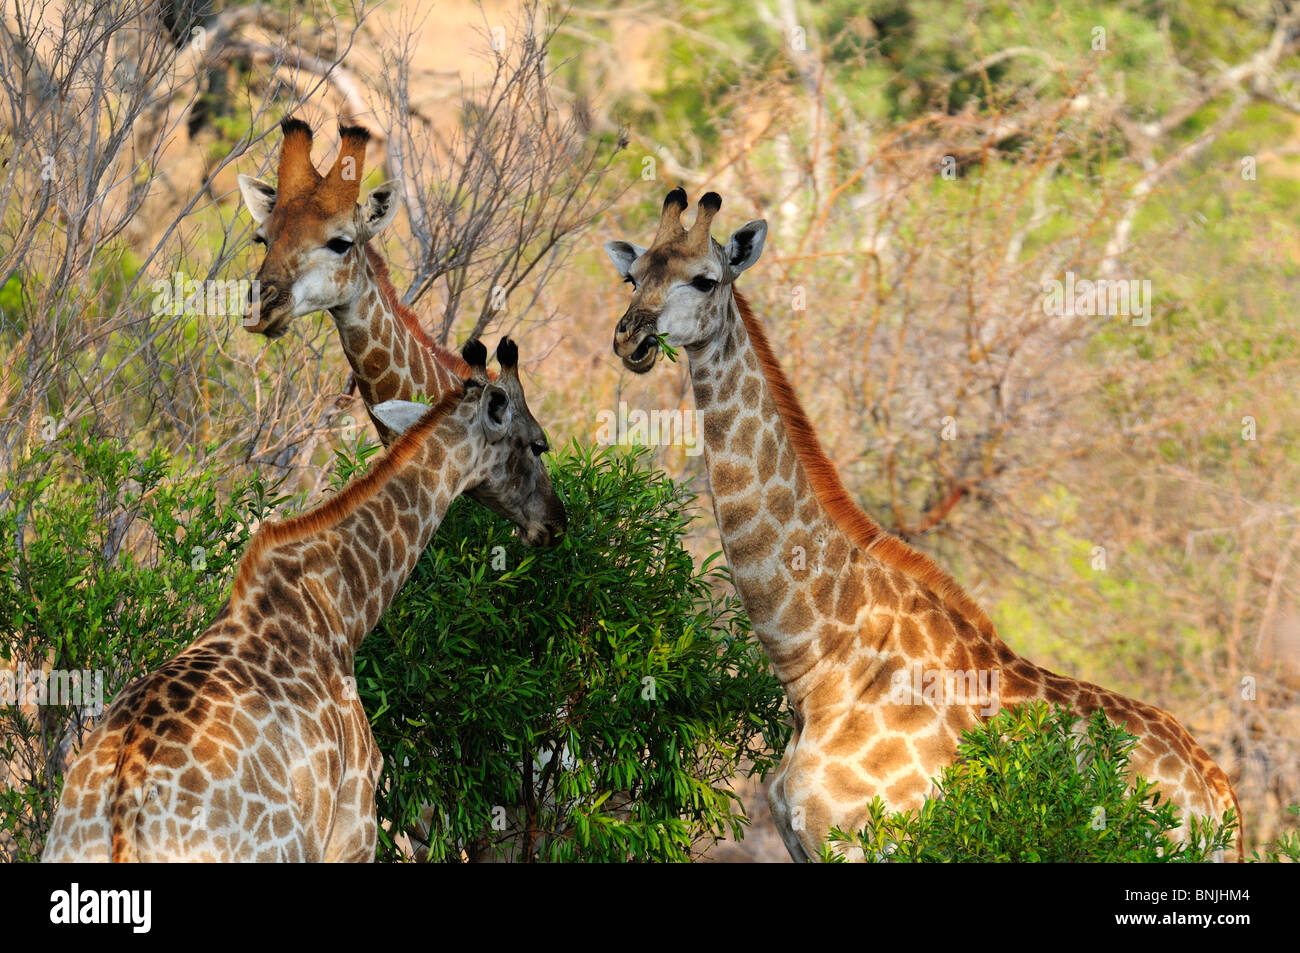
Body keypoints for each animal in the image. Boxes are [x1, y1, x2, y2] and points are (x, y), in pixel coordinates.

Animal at [602, 189, 1241, 862]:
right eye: (633, 276)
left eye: (704, 279)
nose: (631, 339)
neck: (817, 662)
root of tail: (1218, 793)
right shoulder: (802, 841)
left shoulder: (870, 843)